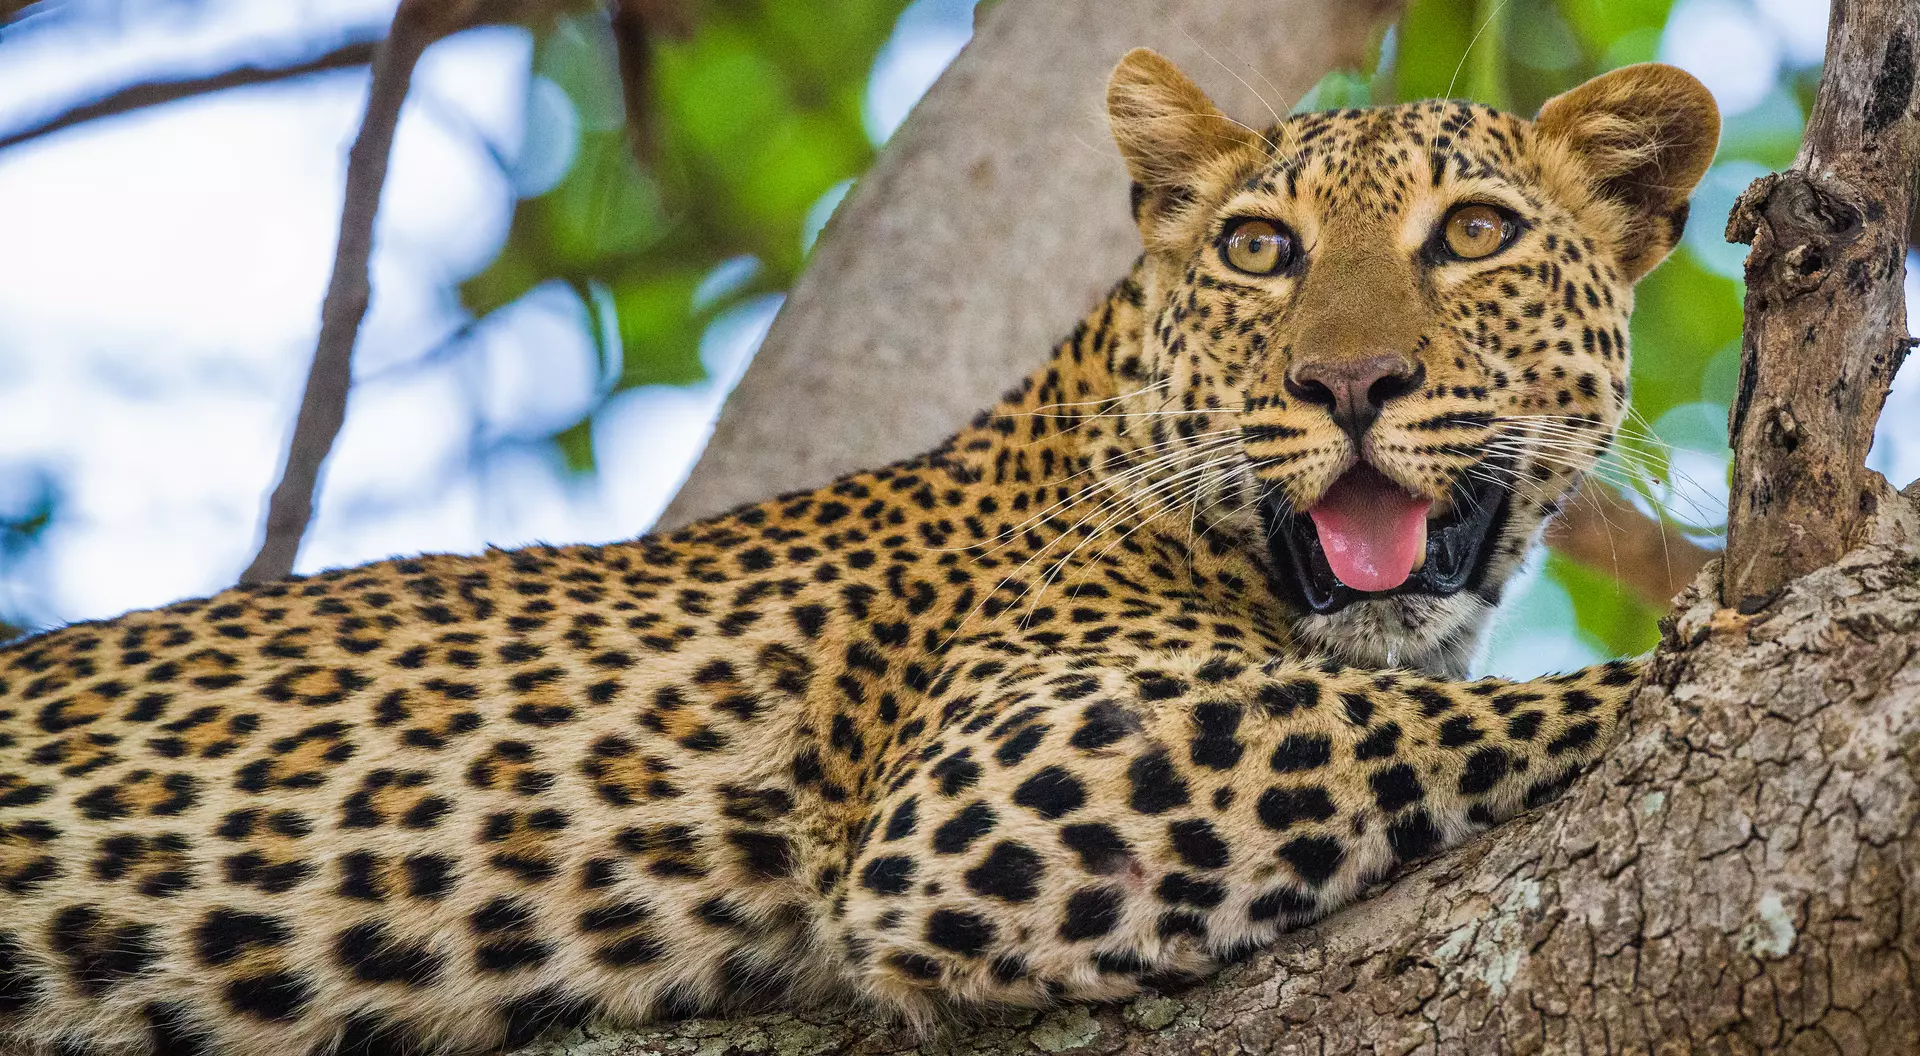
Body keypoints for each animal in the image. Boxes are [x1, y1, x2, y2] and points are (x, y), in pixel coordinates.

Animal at [0, 50, 1719, 1055]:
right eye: (1259, 249)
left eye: (1475, 235)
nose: (1350, 384)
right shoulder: (1010, 764)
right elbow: (1449, 713)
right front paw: (1719, 635)